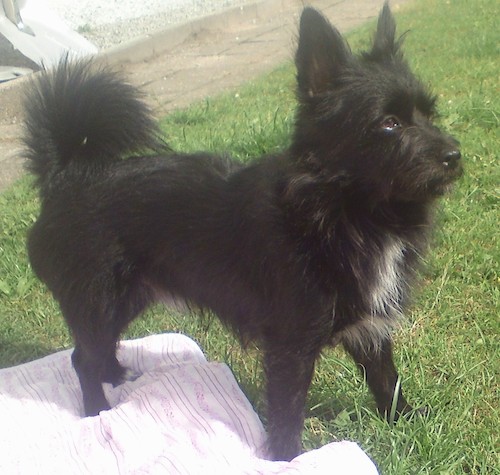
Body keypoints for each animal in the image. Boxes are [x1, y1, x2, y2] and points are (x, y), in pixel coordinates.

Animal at [23, 2, 460, 462]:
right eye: (389, 124)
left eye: (429, 115)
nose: (455, 155)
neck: (343, 210)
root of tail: (65, 179)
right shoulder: (291, 344)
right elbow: (288, 411)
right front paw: (287, 461)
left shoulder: (369, 324)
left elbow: (386, 378)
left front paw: (406, 423)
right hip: (97, 302)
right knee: (82, 360)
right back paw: (97, 412)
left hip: (126, 299)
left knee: (99, 349)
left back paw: (119, 377)